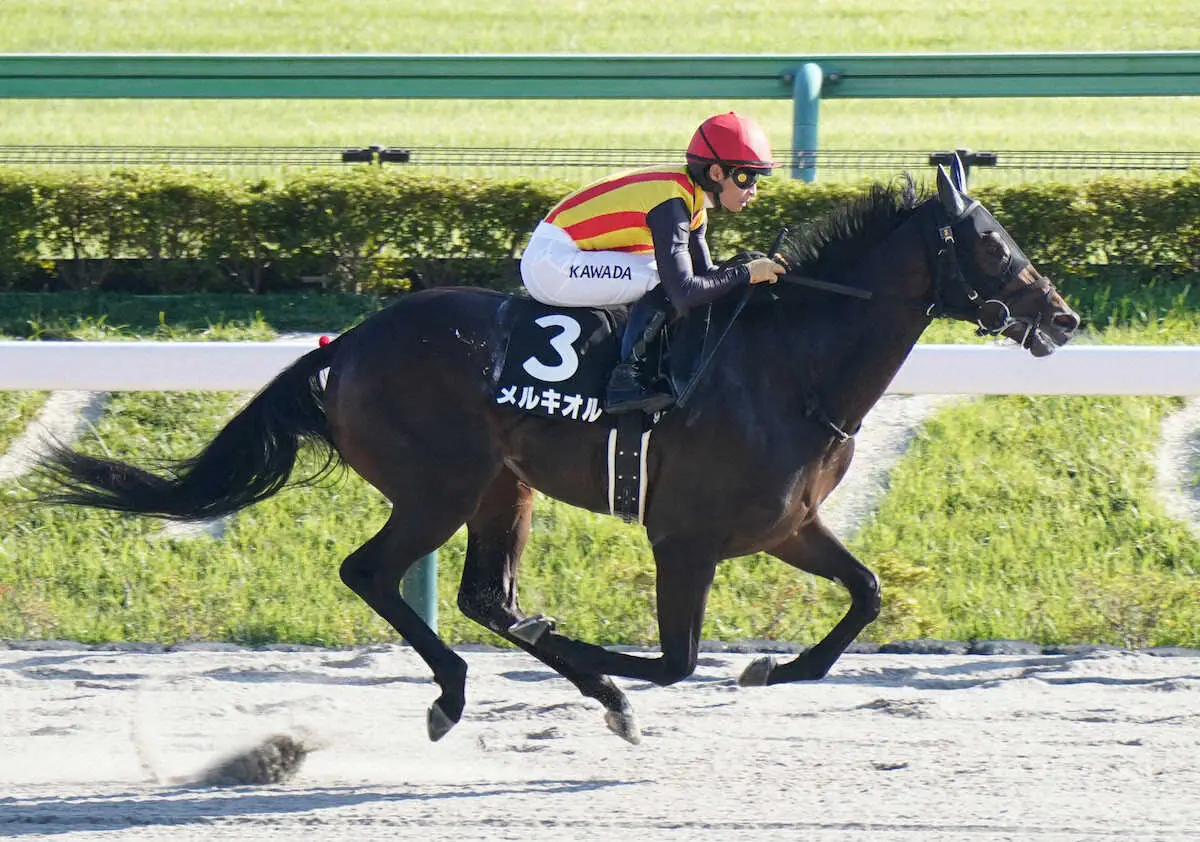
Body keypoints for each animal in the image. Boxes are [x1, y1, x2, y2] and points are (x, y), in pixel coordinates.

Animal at [32, 158, 1080, 743]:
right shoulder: (684, 540)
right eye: (992, 245)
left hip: (504, 487)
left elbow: (863, 596)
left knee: (480, 597)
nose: (1064, 319)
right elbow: (674, 663)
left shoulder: (788, 525)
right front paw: (607, 669)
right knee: (374, 573)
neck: (792, 367)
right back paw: (461, 691)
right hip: (440, 486)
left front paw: (766, 671)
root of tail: (345, 346)